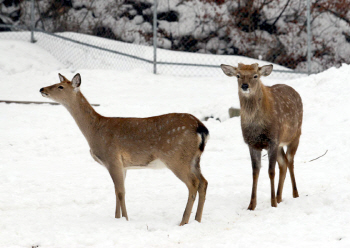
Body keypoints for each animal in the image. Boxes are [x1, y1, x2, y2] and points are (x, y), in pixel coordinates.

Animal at [41, 72, 211, 226]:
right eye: (56, 83)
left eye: (60, 86)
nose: (42, 89)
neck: (95, 130)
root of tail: (201, 128)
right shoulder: (123, 165)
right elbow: (118, 191)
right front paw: (118, 218)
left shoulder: (112, 157)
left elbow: (120, 192)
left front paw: (126, 219)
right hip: (194, 159)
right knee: (204, 182)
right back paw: (197, 220)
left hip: (176, 157)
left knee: (193, 183)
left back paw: (183, 222)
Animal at [221, 63, 304, 210]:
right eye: (238, 75)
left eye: (255, 75)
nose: (245, 86)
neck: (257, 127)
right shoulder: (252, 144)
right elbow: (255, 172)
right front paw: (251, 205)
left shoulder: (272, 141)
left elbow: (271, 171)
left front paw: (272, 204)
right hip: (280, 144)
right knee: (283, 163)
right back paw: (279, 197)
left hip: (295, 135)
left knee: (290, 161)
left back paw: (294, 194)